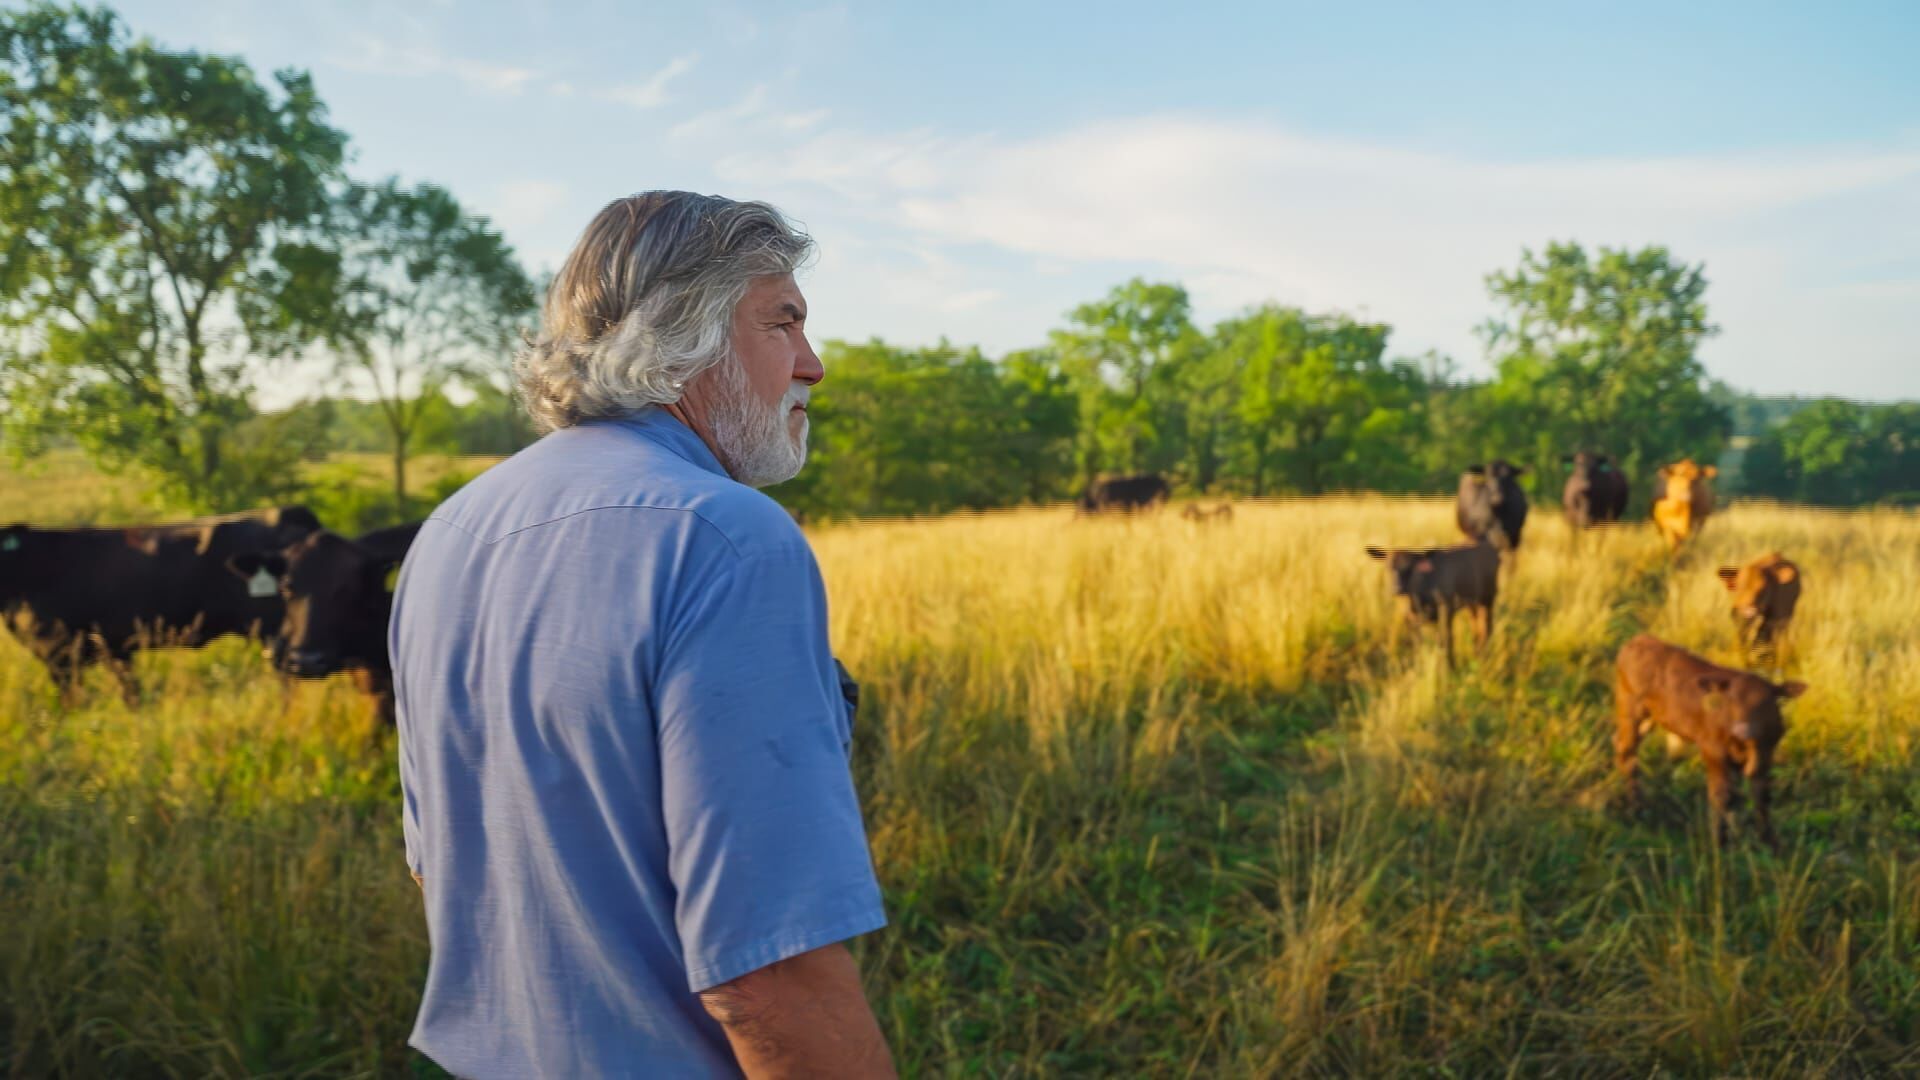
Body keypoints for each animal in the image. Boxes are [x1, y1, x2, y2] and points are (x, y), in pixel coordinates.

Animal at [1367, 538, 1497, 664]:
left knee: (1487, 626)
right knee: (1476, 624)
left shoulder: (1446, 609)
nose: (1397, 589)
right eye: (1388, 567)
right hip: (1473, 602)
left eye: (1412, 568)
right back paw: (1478, 653)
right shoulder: (1409, 618)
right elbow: (1418, 644)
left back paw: (1485, 655)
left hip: (1489, 597)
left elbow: (1446, 640)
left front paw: (1450, 667)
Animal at [1612, 630, 1804, 849]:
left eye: (1764, 702)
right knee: (1628, 753)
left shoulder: (1766, 753)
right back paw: (1635, 808)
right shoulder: (1712, 749)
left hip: (1649, 718)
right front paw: (1720, 842)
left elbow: (1761, 796)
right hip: (1629, 709)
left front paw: (1770, 842)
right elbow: (1722, 795)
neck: (1747, 747)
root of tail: (1640, 638)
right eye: (1731, 701)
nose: (1741, 730)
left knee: (1619, 744)